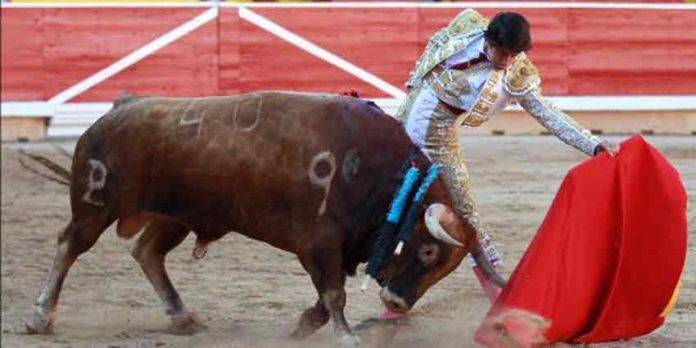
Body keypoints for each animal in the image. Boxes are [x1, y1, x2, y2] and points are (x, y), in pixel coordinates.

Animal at [28, 90, 506, 342]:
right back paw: (40, 317)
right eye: (426, 252)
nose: (396, 304)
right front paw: (345, 335)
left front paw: (305, 326)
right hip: (95, 206)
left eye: (446, 267)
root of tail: (120, 107)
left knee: (147, 252)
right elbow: (334, 294)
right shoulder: (318, 242)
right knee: (68, 247)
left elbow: (325, 297)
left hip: (174, 217)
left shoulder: (330, 249)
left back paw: (182, 317)